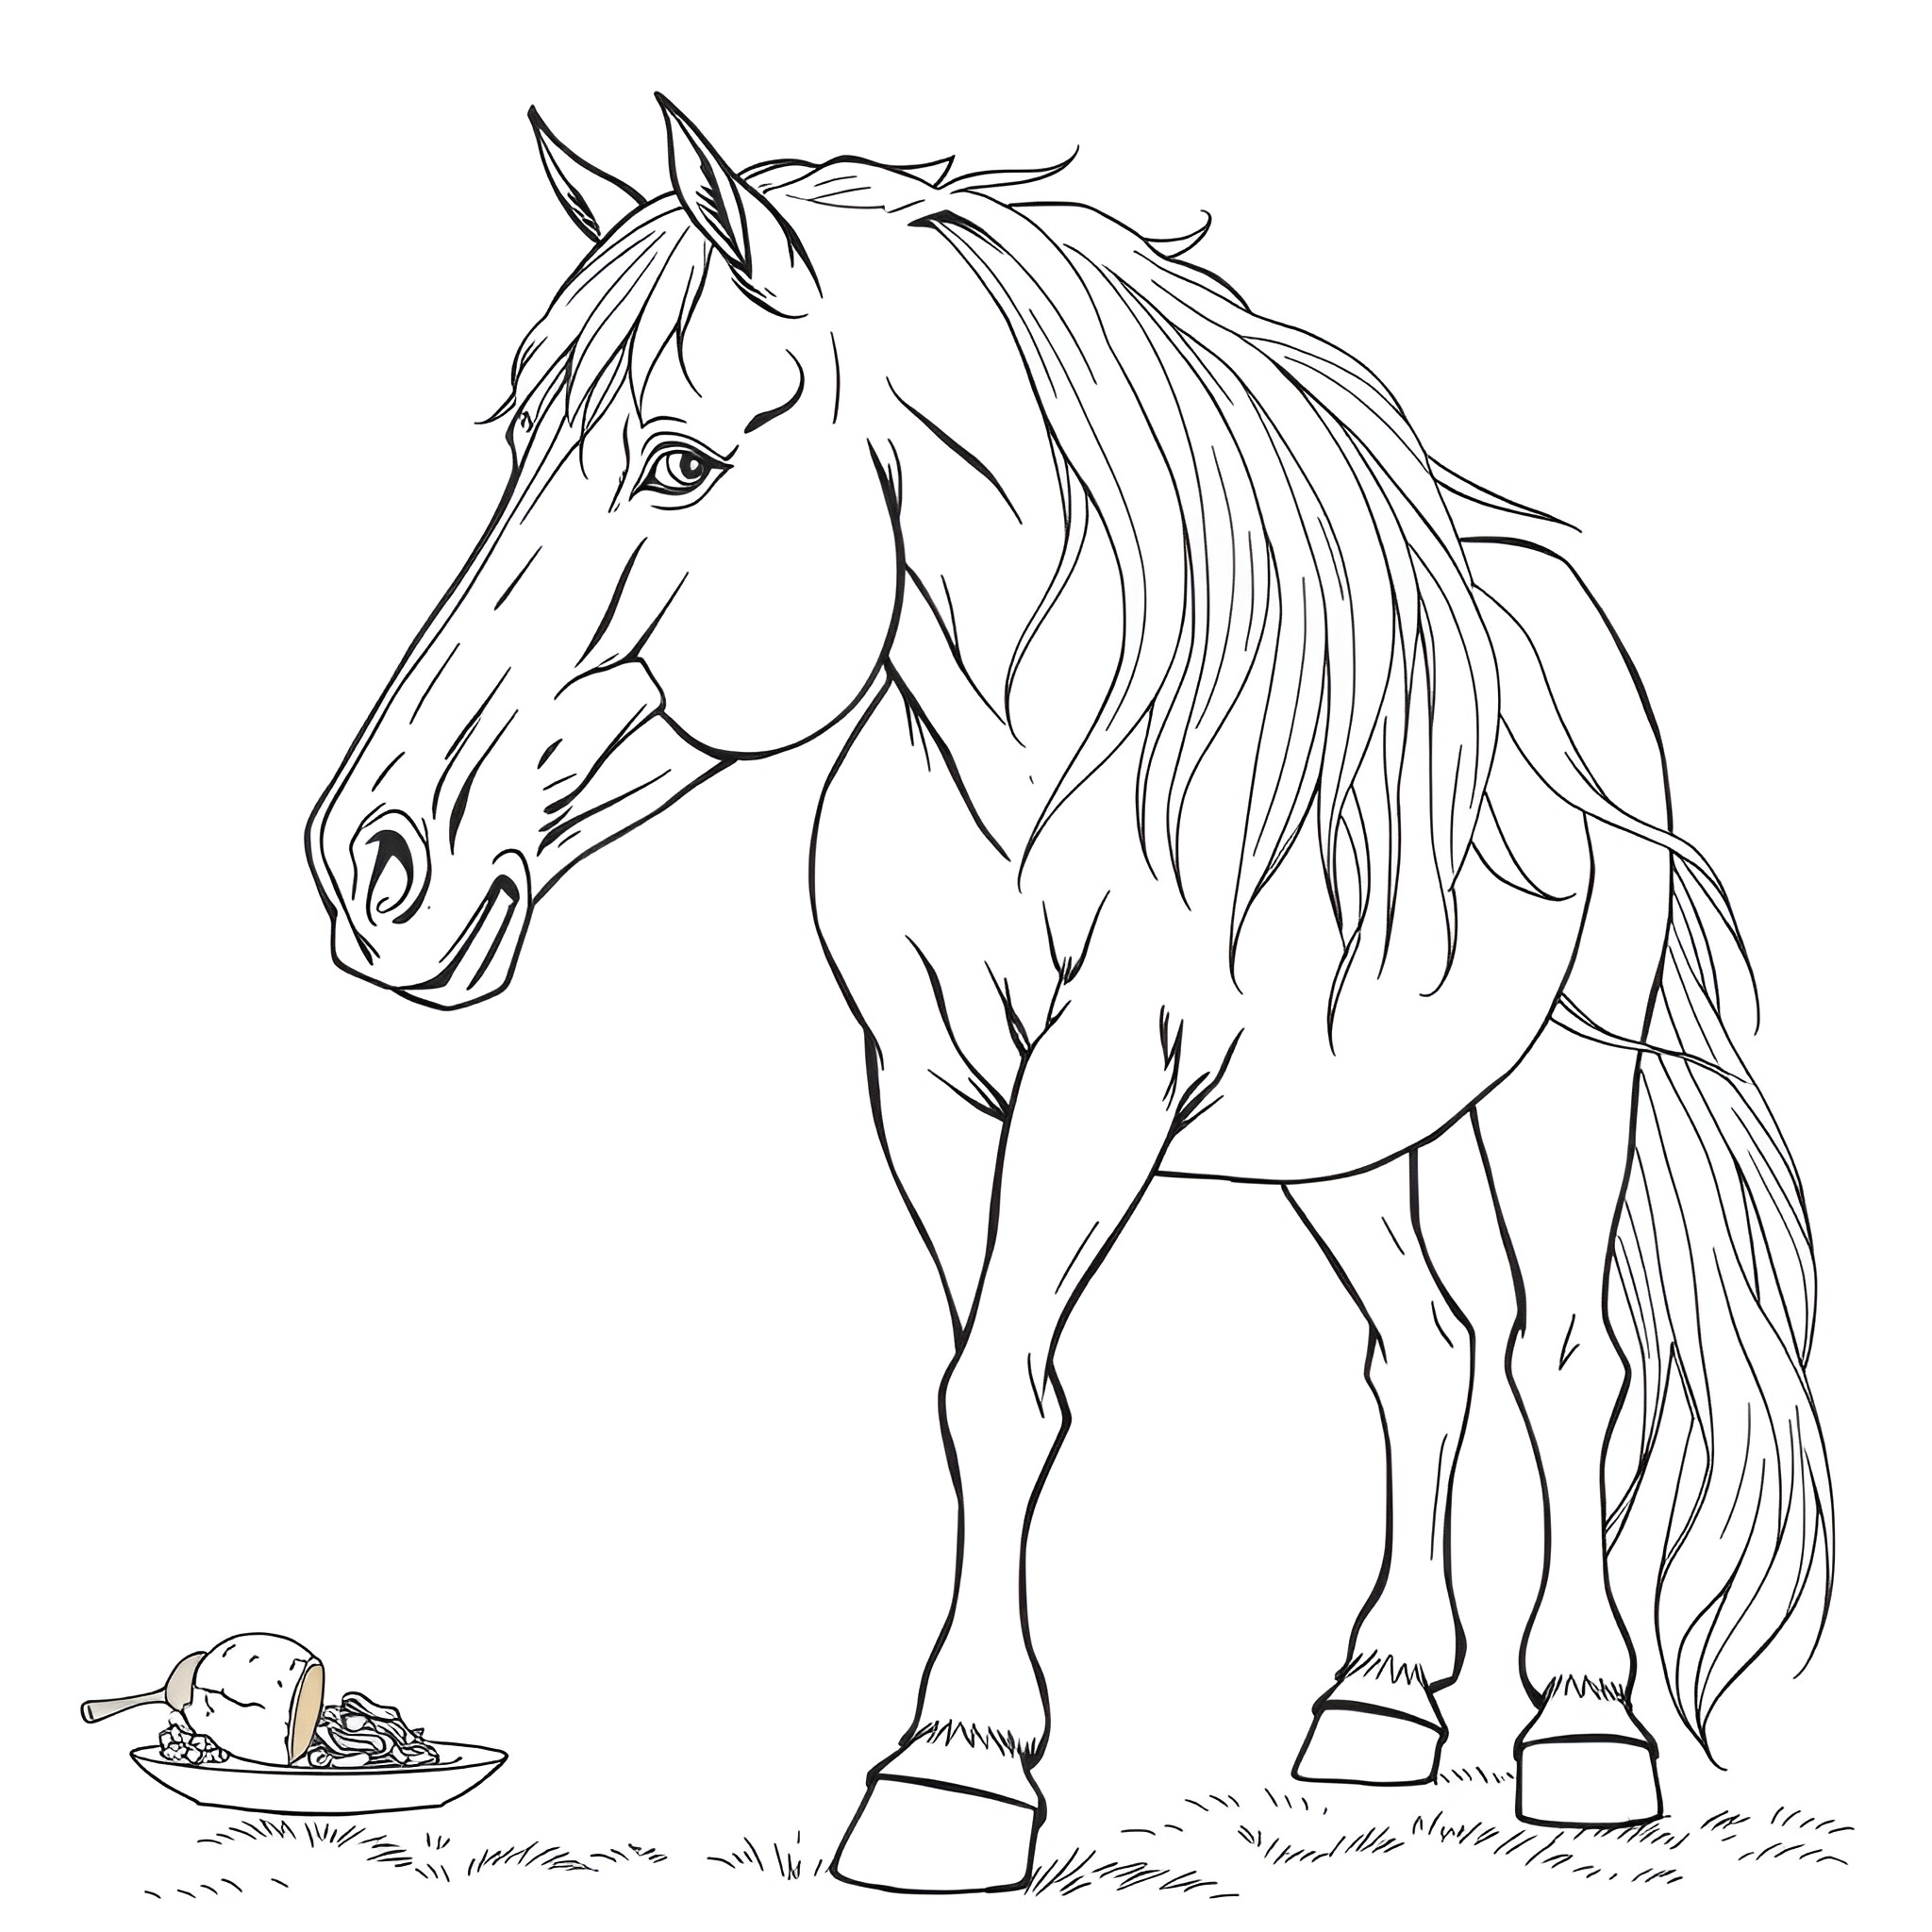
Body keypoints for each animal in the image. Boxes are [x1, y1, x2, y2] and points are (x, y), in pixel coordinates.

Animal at [306, 98, 1833, 1893]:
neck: (1036, 762)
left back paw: (1584, 1734)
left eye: (677, 461)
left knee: (1561, 1360)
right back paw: (1377, 1703)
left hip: (1556, 1086)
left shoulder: (1099, 1078)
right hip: (1339, 1135)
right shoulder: (928, 1086)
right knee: (1422, 1350)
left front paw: (952, 1775)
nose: (372, 865)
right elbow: (977, 1386)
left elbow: (1006, 1384)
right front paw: (959, 1757)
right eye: (520, 443)